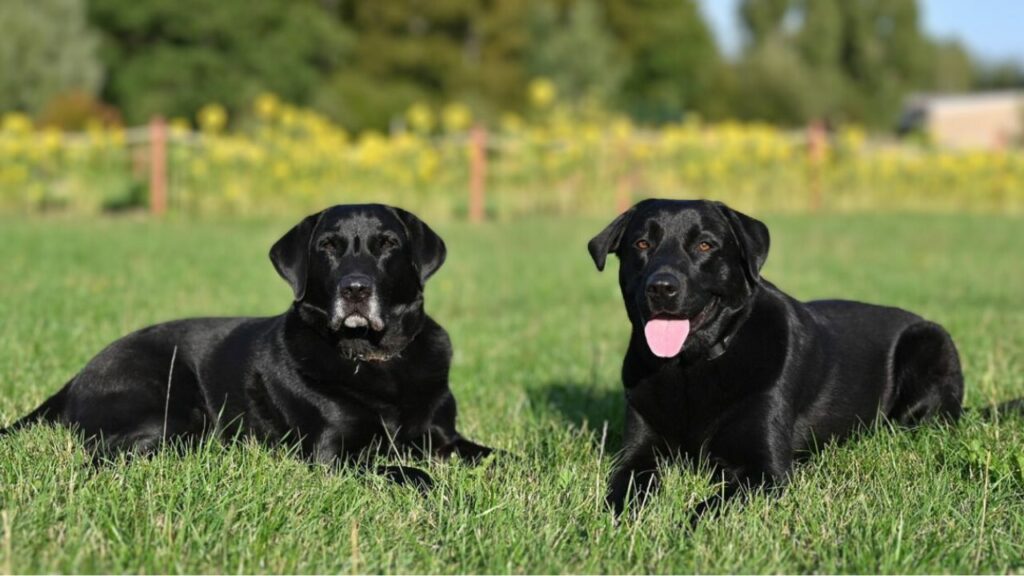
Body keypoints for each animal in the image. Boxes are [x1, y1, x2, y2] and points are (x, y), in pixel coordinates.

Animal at [2, 201, 491, 483]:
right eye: (328, 246)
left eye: (388, 244)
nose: (355, 289)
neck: (375, 358)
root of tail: (75, 377)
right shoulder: (333, 454)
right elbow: (411, 473)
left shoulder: (442, 436)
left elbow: (495, 456)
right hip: (175, 412)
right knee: (105, 455)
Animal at [593, 198, 966, 520]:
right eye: (642, 244)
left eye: (705, 246)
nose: (661, 287)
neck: (689, 367)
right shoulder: (637, 453)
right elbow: (623, 490)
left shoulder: (765, 470)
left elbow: (710, 507)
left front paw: (682, 529)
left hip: (930, 342)